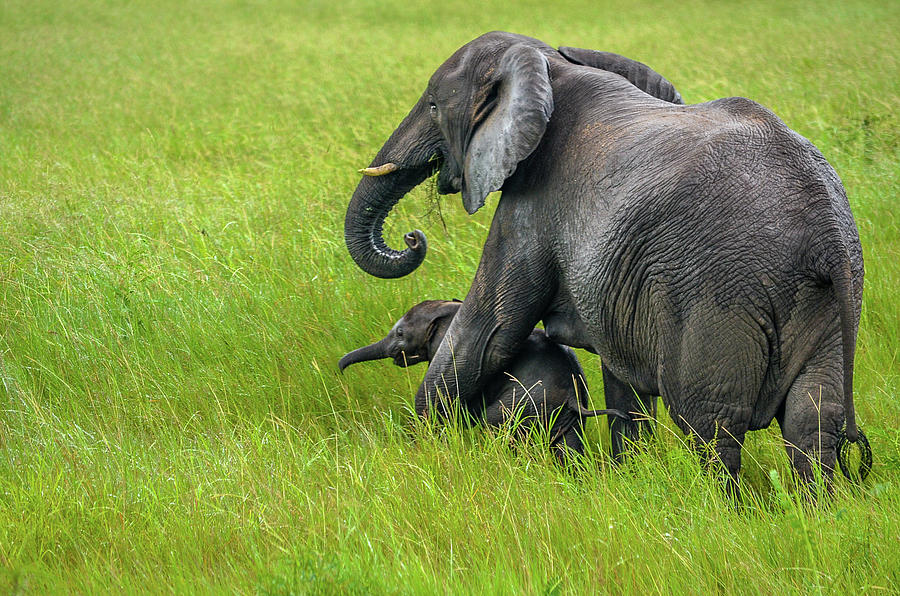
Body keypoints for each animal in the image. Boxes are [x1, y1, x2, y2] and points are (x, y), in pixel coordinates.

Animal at [342, 30, 868, 492]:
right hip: (826, 302)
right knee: (812, 421)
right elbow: (620, 377)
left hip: (720, 298)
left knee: (712, 425)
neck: (548, 65)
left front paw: (417, 451)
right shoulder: (619, 274)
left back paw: (724, 511)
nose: (413, 238)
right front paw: (626, 476)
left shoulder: (532, 204)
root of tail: (827, 235)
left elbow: (488, 331)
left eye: (433, 104)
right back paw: (816, 512)